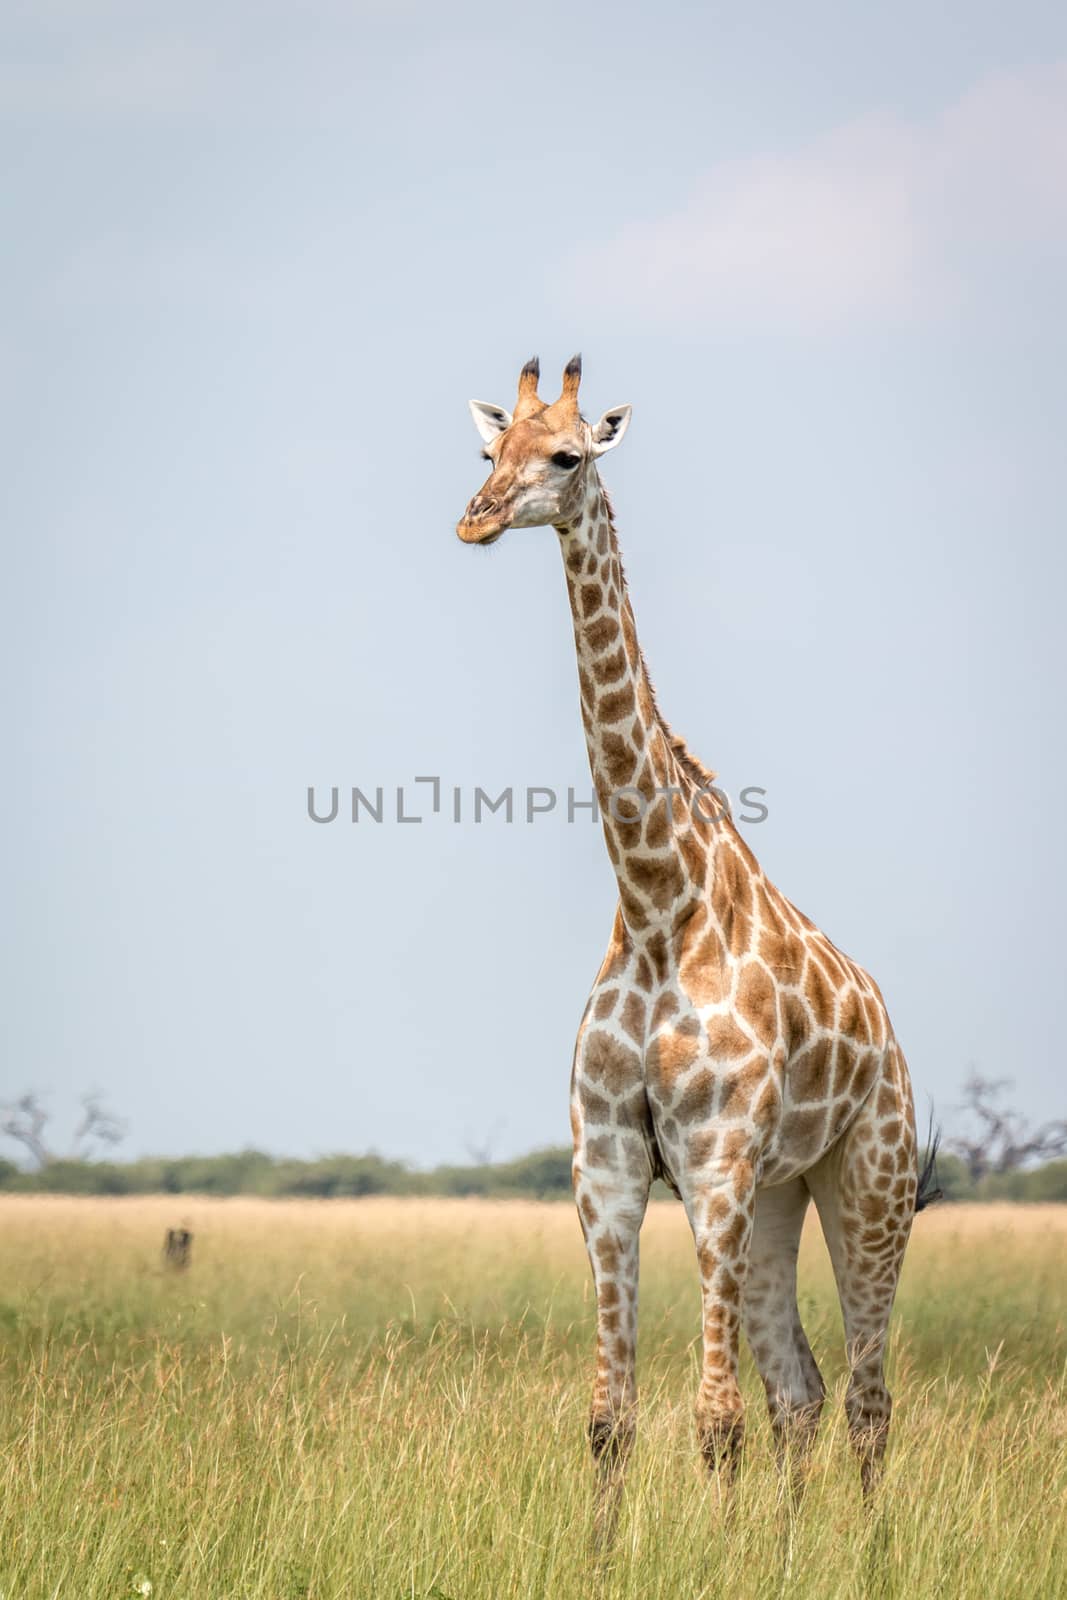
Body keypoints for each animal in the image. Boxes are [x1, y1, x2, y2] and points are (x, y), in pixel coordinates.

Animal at [457, 356, 934, 1516]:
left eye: (565, 456)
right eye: (486, 449)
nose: (474, 518)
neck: (655, 902)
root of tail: (889, 1035)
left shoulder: (713, 1159)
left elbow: (712, 1422)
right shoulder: (610, 1163)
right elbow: (610, 1421)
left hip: (869, 1182)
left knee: (866, 1401)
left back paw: (867, 1547)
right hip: (778, 1195)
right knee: (801, 1393)